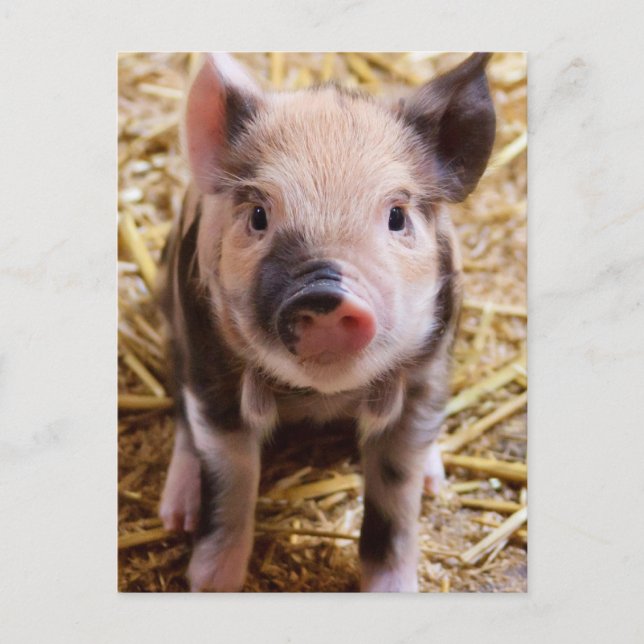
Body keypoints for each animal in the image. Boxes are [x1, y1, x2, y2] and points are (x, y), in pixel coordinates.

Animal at [157, 52, 495, 592]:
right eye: (258, 215)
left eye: (397, 216)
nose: (324, 293)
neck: (321, 397)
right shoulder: (210, 369)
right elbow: (230, 485)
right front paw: (209, 585)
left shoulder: (428, 372)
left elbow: (395, 497)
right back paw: (176, 516)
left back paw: (434, 481)